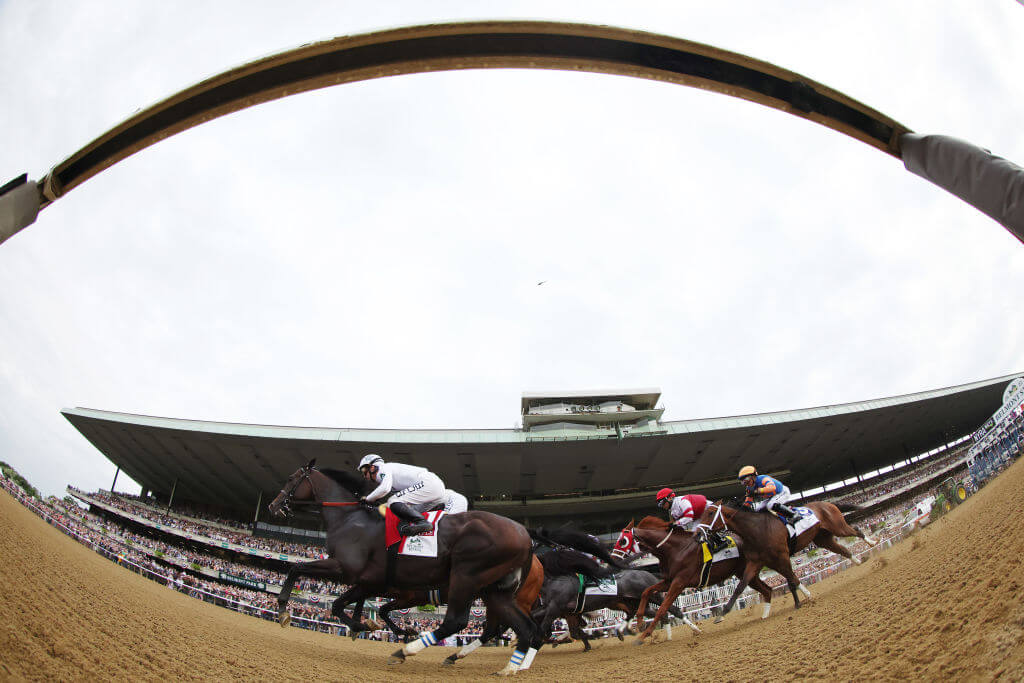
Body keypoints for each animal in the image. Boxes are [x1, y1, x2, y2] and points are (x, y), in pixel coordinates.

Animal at [268, 462, 544, 675]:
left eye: (291, 478)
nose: (273, 506)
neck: (349, 519)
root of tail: (524, 535)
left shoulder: (347, 570)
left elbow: (296, 569)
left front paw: (282, 611)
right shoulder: (370, 581)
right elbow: (345, 606)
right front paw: (369, 627)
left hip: (466, 577)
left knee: (457, 622)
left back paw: (406, 651)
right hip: (496, 591)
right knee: (524, 628)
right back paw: (511, 667)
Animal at [618, 518, 770, 643]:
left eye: (622, 541)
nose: (614, 557)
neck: (674, 550)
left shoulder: (679, 582)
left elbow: (662, 609)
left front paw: (644, 635)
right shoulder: (669, 581)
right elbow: (646, 591)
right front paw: (639, 622)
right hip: (743, 572)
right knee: (767, 589)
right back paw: (765, 615)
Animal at [696, 499, 880, 622]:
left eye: (710, 513)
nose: (697, 534)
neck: (756, 529)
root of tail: (827, 503)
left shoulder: (782, 556)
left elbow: (792, 579)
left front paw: (805, 597)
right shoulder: (757, 562)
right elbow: (740, 587)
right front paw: (723, 613)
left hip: (837, 527)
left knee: (856, 530)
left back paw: (872, 543)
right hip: (823, 539)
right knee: (843, 549)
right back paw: (858, 561)